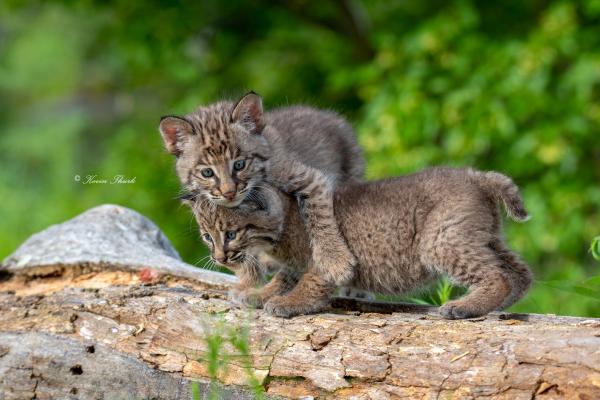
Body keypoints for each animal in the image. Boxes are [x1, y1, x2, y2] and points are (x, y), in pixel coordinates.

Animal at [159, 94, 364, 294]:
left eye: (240, 164)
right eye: (207, 173)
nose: (229, 192)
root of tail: (332, 116)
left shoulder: (311, 179)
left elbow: (320, 219)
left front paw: (335, 261)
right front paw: (249, 283)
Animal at [190, 167, 532, 320]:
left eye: (231, 233)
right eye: (207, 236)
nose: (219, 258)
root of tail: (475, 175)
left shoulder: (323, 259)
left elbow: (311, 282)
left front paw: (287, 303)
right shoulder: (294, 264)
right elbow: (284, 277)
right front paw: (259, 294)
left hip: (440, 240)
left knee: (497, 276)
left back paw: (464, 307)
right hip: (480, 236)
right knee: (521, 272)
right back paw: (503, 305)